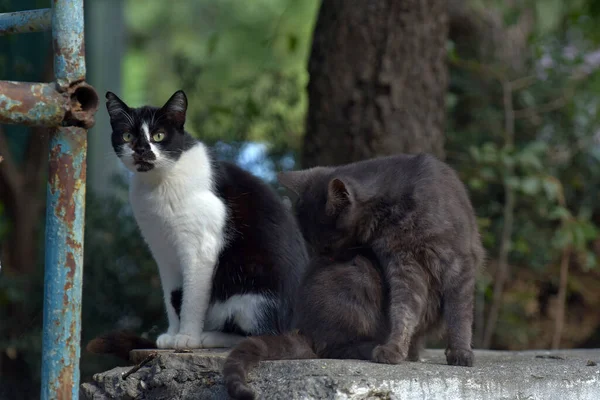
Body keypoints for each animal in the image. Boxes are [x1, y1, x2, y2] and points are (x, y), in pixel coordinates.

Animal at [94, 90, 310, 354]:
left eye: (158, 135)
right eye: (127, 135)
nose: (142, 150)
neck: (159, 183)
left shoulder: (200, 249)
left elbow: (192, 298)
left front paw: (187, 337)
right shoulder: (162, 252)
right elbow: (172, 296)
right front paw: (172, 334)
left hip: (252, 292)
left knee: (264, 335)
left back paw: (210, 336)